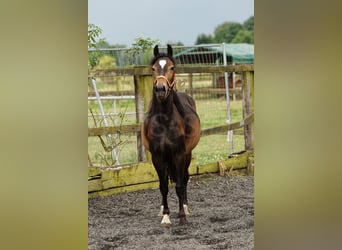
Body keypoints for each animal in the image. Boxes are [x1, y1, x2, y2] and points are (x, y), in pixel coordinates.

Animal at [141, 44, 200, 226]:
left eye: (172, 67)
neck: (164, 121)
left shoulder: (179, 154)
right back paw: (162, 210)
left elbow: (180, 185)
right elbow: (163, 186)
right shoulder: (158, 157)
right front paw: (166, 215)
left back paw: (186, 207)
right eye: (153, 68)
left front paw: (182, 216)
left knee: (185, 179)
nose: (160, 89)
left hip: (188, 155)